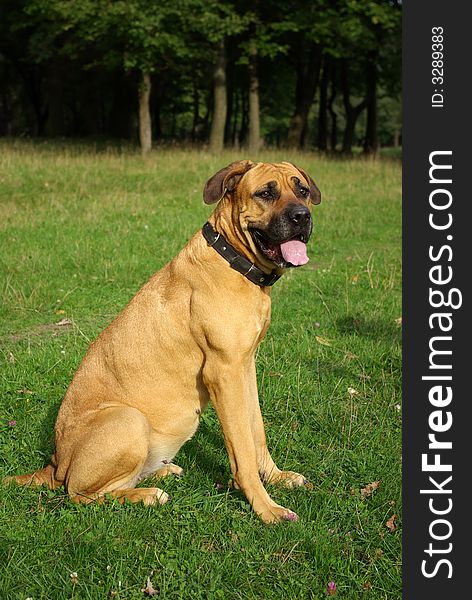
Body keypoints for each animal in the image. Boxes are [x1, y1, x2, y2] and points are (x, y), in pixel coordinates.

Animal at [7, 162, 322, 524]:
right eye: (266, 193)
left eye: (301, 190)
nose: (301, 217)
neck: (233, 261)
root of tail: (55, 464)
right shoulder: (224, 374)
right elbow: (241, 449)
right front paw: (265, 506)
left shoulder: (246, 368)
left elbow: (256, 432)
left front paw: (276, 477)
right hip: (128, 419)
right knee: (82, 495)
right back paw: (146, 495)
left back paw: (160, 472)